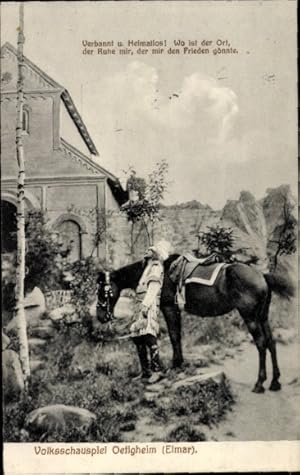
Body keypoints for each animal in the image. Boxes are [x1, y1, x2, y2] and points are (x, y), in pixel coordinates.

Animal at [96, 256, 296, 394]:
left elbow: (174, 335)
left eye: (102, 291)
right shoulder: (174, 310)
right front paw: (179, 363)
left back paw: (259, 383)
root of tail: (261, 275)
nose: (100, 317)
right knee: (271, 342)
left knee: (261, 344)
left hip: (251, 318)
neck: (161, 273)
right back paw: (275, 382)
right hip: (262, 317)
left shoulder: (169, 308)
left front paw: (176, 364)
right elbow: (177, 336)